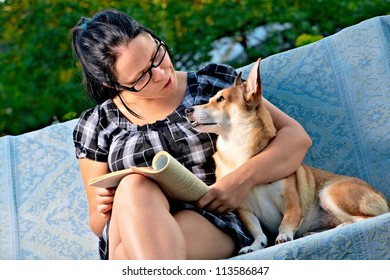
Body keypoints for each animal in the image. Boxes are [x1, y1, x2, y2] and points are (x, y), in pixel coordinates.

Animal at [186, 58, 390, 254]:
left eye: (221, 99)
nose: (187, 110)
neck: (237, 147)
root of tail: (383, 198)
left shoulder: (291, 204)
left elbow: (287, 221)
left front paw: (283, 236)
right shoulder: (244, 210)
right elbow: (257, 230)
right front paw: (255, 245)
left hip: (328, 193)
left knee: (367, 217)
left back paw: (342, 225)